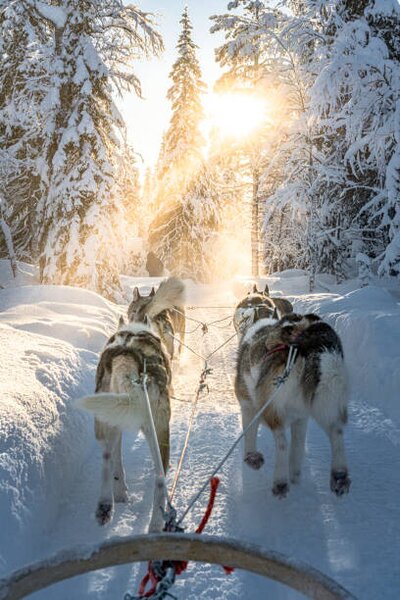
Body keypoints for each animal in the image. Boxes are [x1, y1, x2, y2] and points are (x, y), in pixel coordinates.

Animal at [77, 322, 172, 532]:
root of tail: (126, 354)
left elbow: (117, 462)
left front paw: (120, 492)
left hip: (105, 418)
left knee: (107, 456)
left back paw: (105, 505)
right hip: (158, 429)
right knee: (159, 478)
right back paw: (155, 524)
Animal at [234, 312, 350, 500]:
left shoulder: (248, 406)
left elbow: (250, 436)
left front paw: (251, 458)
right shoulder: (301, 418)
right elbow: (297, 450)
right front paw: (295, 477)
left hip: (271, 408)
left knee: (282, 442)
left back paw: (280, 482)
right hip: (328, 401)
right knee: (336, 432)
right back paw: (339, 476)